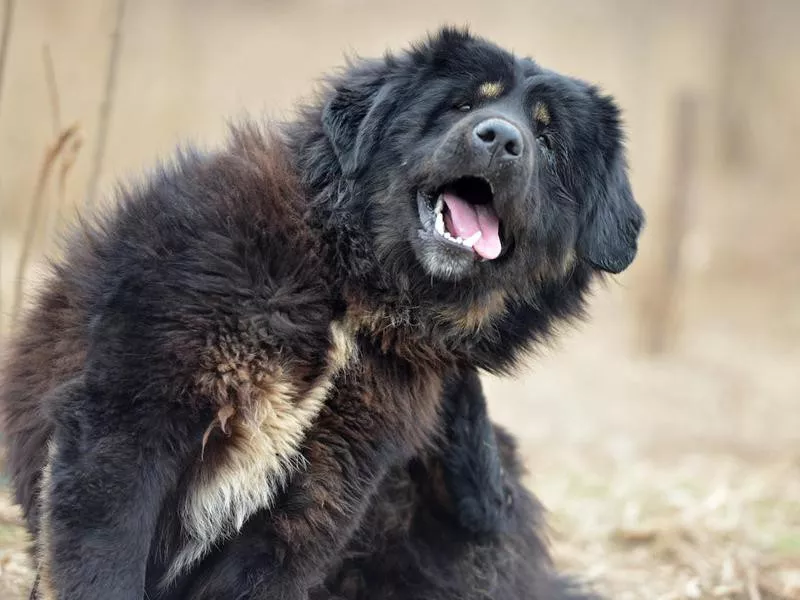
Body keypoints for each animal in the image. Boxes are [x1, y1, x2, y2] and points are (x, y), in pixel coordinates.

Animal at [0, 27, 636, 600]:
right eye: (463, 104)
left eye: (547, 139)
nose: (502, 138)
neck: (354, 295)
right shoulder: (132, 424)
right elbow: (103, 563)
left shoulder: (319, 495)